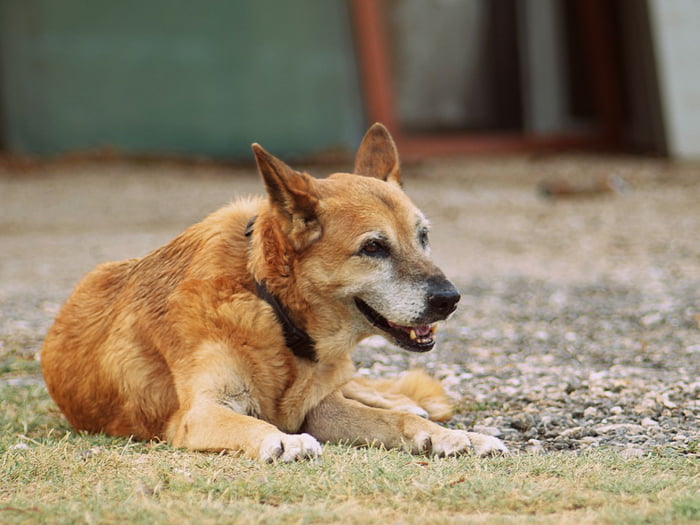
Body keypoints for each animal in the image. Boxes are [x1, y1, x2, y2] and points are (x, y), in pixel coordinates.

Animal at [39, 123, 508, 458]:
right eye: (373, 247)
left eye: (423, 237)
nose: (450, 300)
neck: (275, 309)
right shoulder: (200, 413)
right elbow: (251, 423)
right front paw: (282, 439)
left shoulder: (318, 407)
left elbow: (396, 423)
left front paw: (447, 434)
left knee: (369, 390)